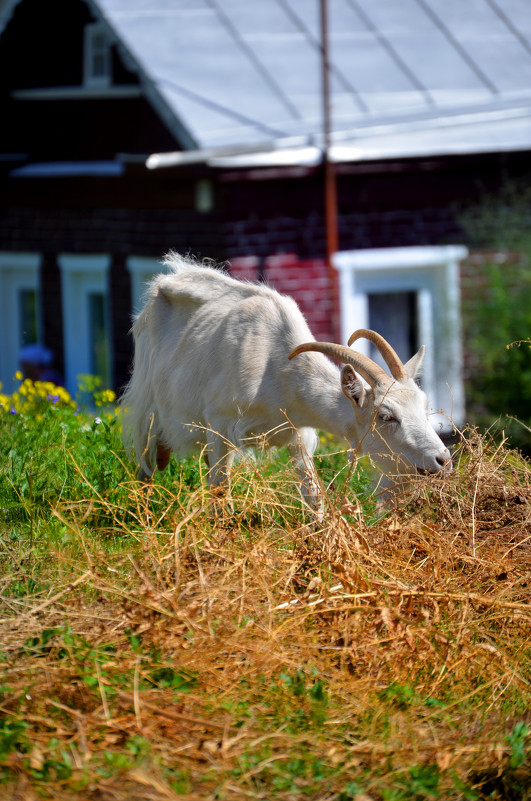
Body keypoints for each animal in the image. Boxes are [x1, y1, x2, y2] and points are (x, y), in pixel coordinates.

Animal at [122, 253, 450, 510]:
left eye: (425, 408)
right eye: (386, 416)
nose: (443, 459)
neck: (275, 367)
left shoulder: (297, 434)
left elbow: (313, 496)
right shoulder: (220, 426)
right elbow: (220, 494)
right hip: (148, 406)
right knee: (146, 466)